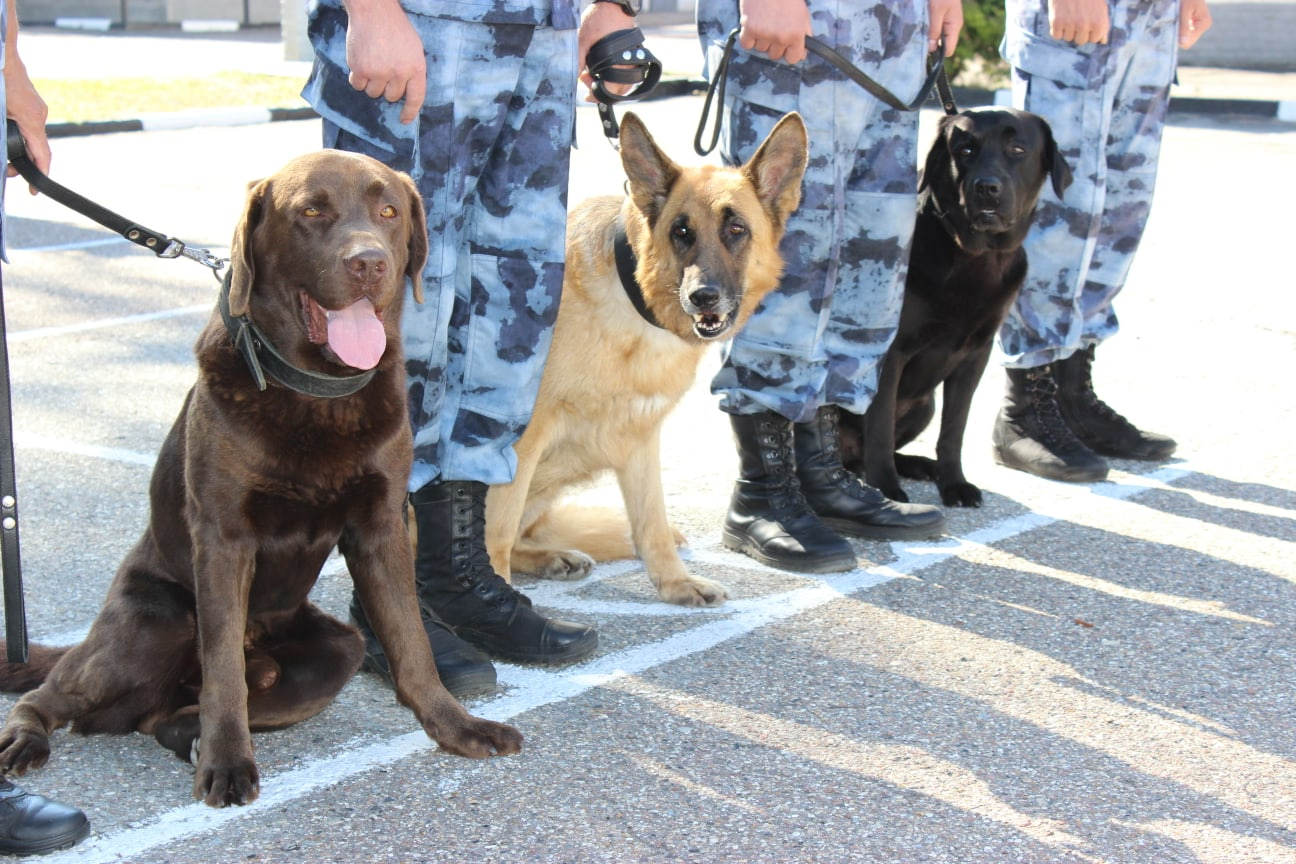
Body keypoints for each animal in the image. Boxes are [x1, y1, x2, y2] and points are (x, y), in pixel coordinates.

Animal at [0, 147, 520, 803]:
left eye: (389, 212)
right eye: (312, 211)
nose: (370, 262)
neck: (317, 390)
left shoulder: (380, 526)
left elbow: (412, 642)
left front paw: (456, 725)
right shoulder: (225, 537)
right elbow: (224, 668)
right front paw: (227, 762)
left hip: (338, 650)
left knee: (167, 717)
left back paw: (189, 739)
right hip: (156, 620)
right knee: (52, 695)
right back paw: (29, 737)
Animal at [487, 110, 803, 608]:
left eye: (736, 229)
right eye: (681, 231)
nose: (703, 297)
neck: (633, 299)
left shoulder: (639, 437)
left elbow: (651, 522)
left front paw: (675, 583)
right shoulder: (518, 442)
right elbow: (495, 532)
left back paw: (550, 556)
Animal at [839, 111, 1073, 510]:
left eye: (1018, 149)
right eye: (965, 150)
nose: (987, 187)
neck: (976, 257)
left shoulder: (975, 355)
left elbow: (955, 429)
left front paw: (954, 483)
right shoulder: (890, 353)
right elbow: (880, 424)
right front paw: (886, 489)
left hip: (924, 406)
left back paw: (918, 465)